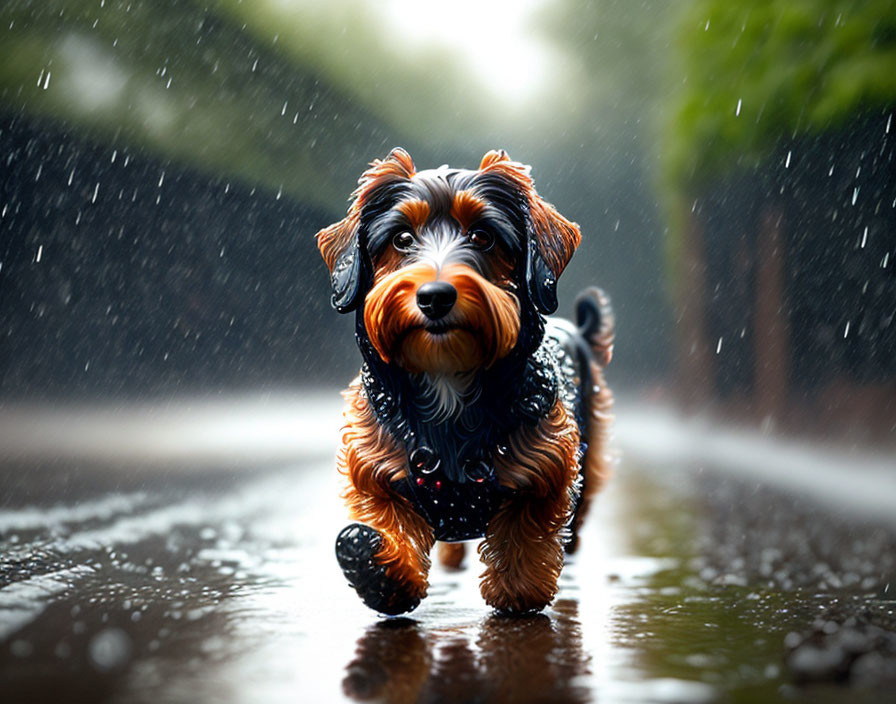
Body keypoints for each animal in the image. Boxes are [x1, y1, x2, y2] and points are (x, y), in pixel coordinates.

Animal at [316, 148, 616, 616]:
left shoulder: (548, 466)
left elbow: (524, 531)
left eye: (483, 236)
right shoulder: (373, 468)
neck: (447, 378)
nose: (434, 297)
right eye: (402, 238)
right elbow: (388, 523)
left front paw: (516, 591)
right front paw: (381, 568)